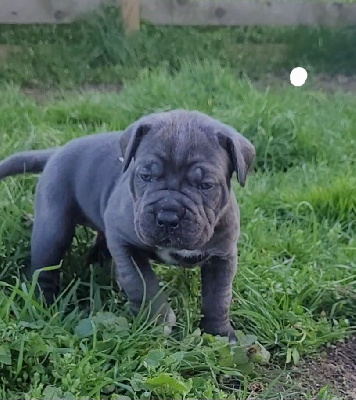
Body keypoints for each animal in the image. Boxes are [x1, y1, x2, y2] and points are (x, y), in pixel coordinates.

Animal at [0, 109, 254, 340]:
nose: (168, 216)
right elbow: (142, 284)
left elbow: (218, 297)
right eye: (145, 176)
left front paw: (219, 334)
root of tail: (57, 151)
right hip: (53, 228)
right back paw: (46, 304)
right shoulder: (123, 242)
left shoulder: (223, 256)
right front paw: (158, 320)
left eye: (205, 186)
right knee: (44, 267)